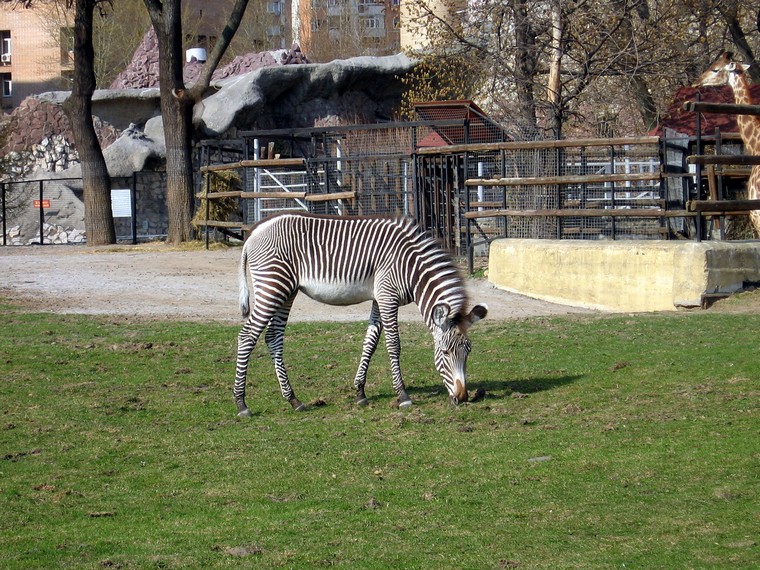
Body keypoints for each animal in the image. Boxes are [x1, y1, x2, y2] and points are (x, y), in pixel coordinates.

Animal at [232, 211, 486, 414]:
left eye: (468, 352)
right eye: (444, 353)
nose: (462, 398)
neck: (412, 268)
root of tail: (254, 232)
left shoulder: (378, 298)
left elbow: (370, 343)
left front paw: (360, 393)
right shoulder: (388, 297)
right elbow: (393, 344)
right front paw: (402, 395)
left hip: (287, 290)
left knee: (272, 338)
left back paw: (293, 400)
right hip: (273, 286)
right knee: (247, 337)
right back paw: (241, 404)